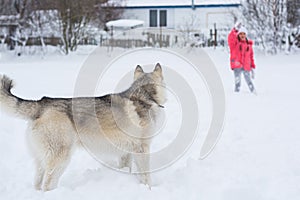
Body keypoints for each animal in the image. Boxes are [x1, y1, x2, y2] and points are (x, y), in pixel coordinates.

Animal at [0, 63, 165, 191]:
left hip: (42, 161)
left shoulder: (127, 152)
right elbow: (146, 176)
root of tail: (42, 103)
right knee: (47, 186)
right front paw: (149, 190)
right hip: (61, 159)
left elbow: (127, 169)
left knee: (38, 184)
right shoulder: (142, 149)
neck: (145, 97)